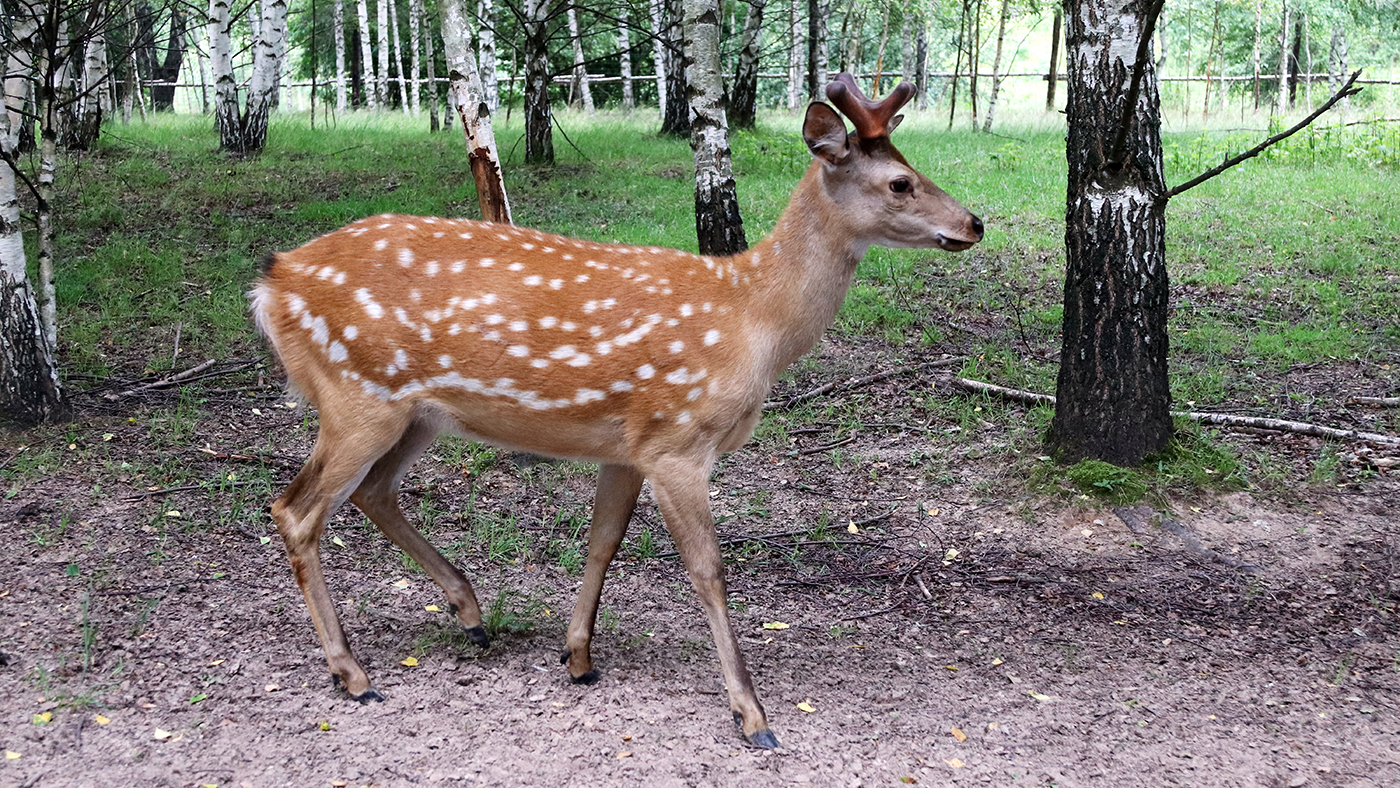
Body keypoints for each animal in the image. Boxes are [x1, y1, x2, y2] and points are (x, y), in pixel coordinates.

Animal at [249, 75, 974, 750]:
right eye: (901, 182)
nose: (975, 223)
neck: (753, 320)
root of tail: (271, 282)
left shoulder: (629, 444)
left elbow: (601, 543)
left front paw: (578, 657)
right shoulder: (678, 439)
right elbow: (708, 570)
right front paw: (753, 714)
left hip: (413, 413)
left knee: (370, 491)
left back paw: (470, 613)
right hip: (356, 395)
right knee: (295, 509)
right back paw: (353, 673)